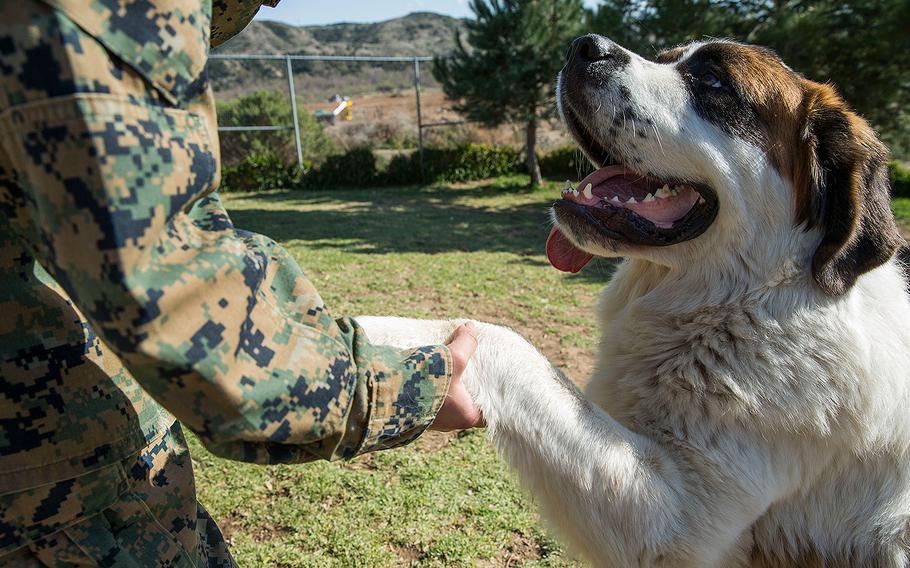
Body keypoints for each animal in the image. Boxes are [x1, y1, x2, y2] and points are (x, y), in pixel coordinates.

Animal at [356, 36, 910, 568]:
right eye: (664, 58)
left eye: (713, 81)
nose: (583, 47)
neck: (747, 298)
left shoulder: (675, 519)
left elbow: (505, 341)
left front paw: (376, 336)